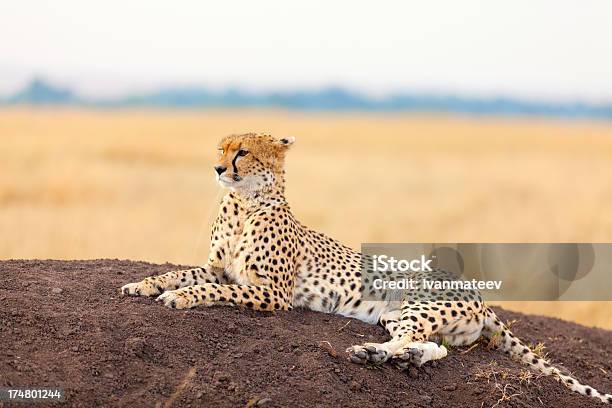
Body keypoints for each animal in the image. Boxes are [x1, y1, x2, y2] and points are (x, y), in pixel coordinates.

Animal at [122, 132, 612, 404]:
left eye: (241, 152)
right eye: (221, 149)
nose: (218, 167)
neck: (243, 202)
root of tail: (477, 294)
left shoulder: (271, 294)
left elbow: (212, 291)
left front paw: (180, 298)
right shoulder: (218, 269)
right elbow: (182, 274)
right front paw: (142, 284)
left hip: (415, 306)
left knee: (415, 340)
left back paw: (368, 353)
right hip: (403, 316)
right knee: (431, 346)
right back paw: (388, 356)